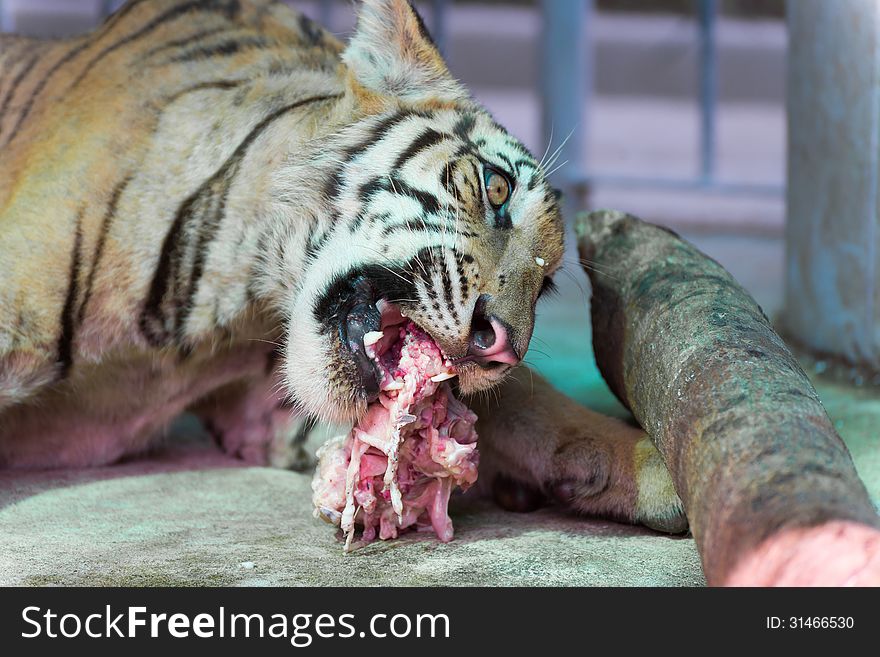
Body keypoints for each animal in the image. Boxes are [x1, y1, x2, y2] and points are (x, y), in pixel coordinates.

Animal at [0, 0, 688, 532]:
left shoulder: (261, 407)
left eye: (545, 287)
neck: (246, 300)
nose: (501, 348)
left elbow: (523, 404)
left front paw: (652, 469)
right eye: (496, 189)